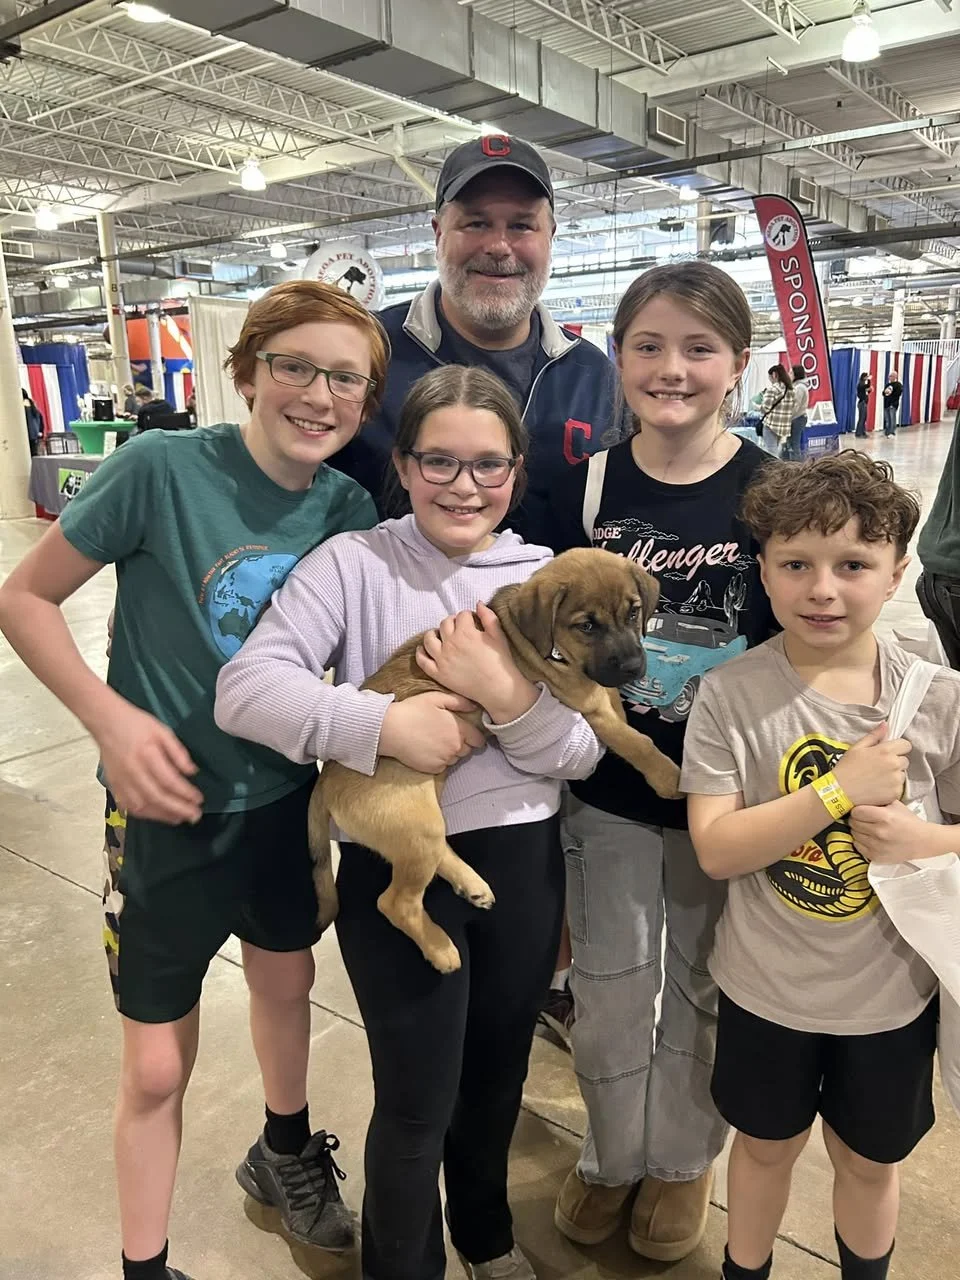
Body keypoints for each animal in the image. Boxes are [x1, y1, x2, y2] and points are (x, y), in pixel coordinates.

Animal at [309, 547, 682, 973]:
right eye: (587, 626)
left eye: (634, 612)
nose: (634, 668)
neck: (548, 647)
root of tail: (324, 781)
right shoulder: (588, 705)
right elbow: (637, 741)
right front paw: (667, 775)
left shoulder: (600, 694)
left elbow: (619, 711)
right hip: (414, 823)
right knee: (395, 902)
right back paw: (441, 949)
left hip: (423, 811)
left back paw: (471, 885)